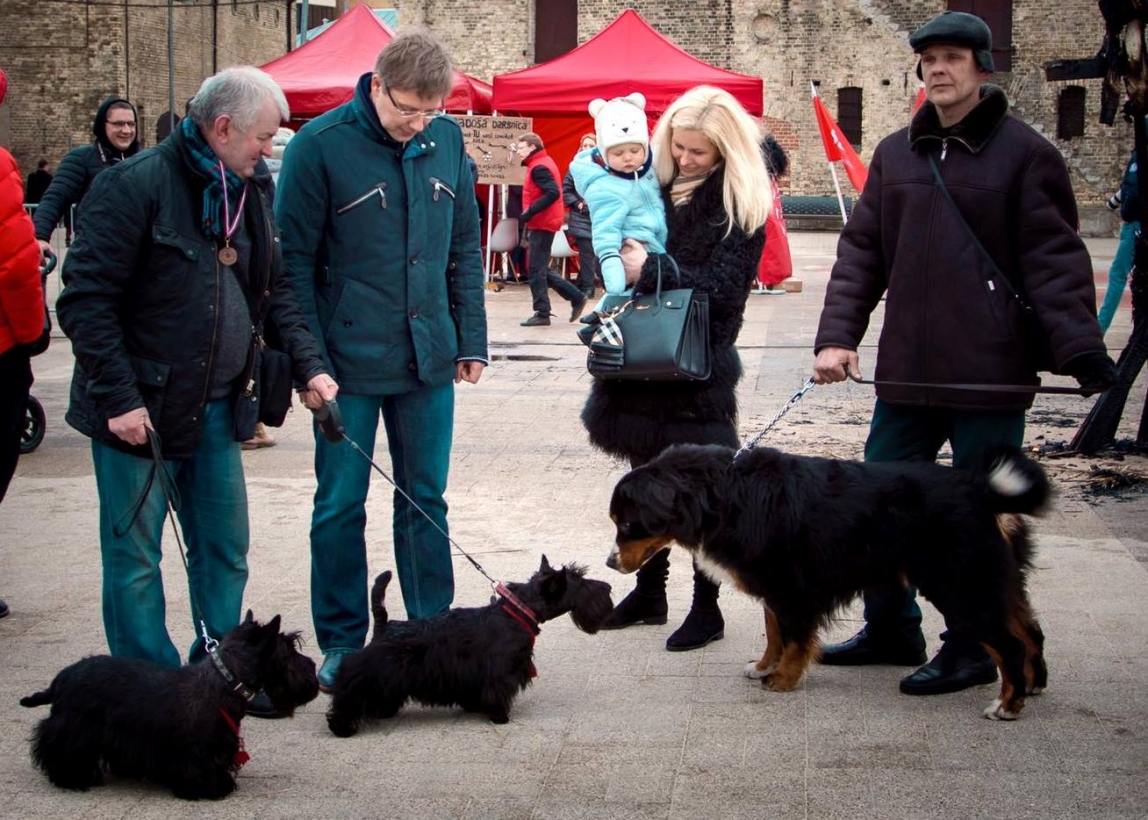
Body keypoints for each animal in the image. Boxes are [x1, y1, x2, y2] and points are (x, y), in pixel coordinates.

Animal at [610, 441, 1051, 716]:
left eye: (628, 524)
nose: (610, 562)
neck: (725, 493)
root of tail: (981, 489)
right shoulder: (774, 588)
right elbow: (774, 633)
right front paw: (764, 667)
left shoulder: (792, 588)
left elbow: (795, 639)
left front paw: (783, 678)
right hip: (993, 580)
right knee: (1031, 630)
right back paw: (1033, 684)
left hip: (959, 585)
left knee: (1009, 645)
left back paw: (1007, 705)